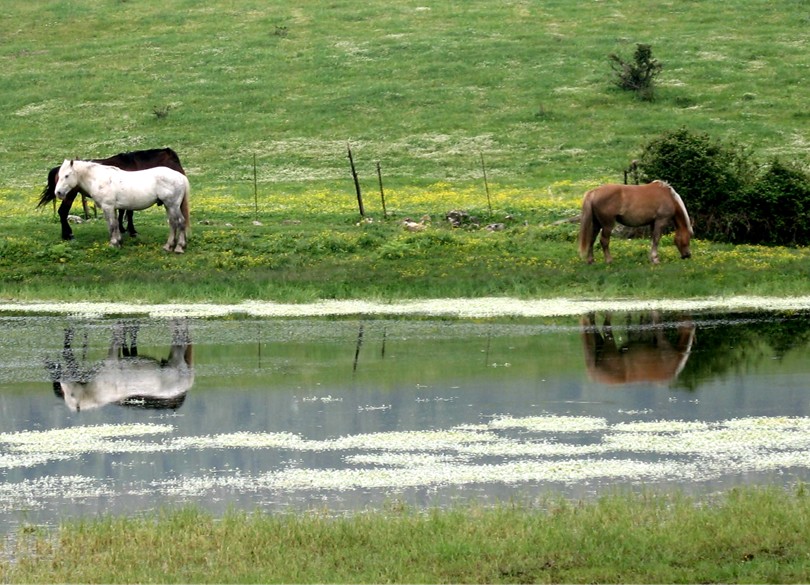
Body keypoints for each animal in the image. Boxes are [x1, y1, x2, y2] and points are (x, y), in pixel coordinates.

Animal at [37, 147, 184, 241]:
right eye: (175, 160)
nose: (182, 173)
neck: (133, 165)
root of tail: (58, 169)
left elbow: (122, 212)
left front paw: (122, 229)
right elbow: (128, 213)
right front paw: (131, 231)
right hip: (68, 195)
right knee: (63, 212)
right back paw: (67, 235)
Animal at [54, 159, 191, 252]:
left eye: (66, 175)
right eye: (59, 176)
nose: (58, 193)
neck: (99, 179)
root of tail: (180, 176)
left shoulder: (108, 207)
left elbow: (111, 225)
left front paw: (113, 244)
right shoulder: (113, 208)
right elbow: (115, 224)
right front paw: (118, 242)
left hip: (172, 205)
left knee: (180, 222)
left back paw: (179, 247)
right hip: (169, 206)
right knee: (173, 223)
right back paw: (168, 246)